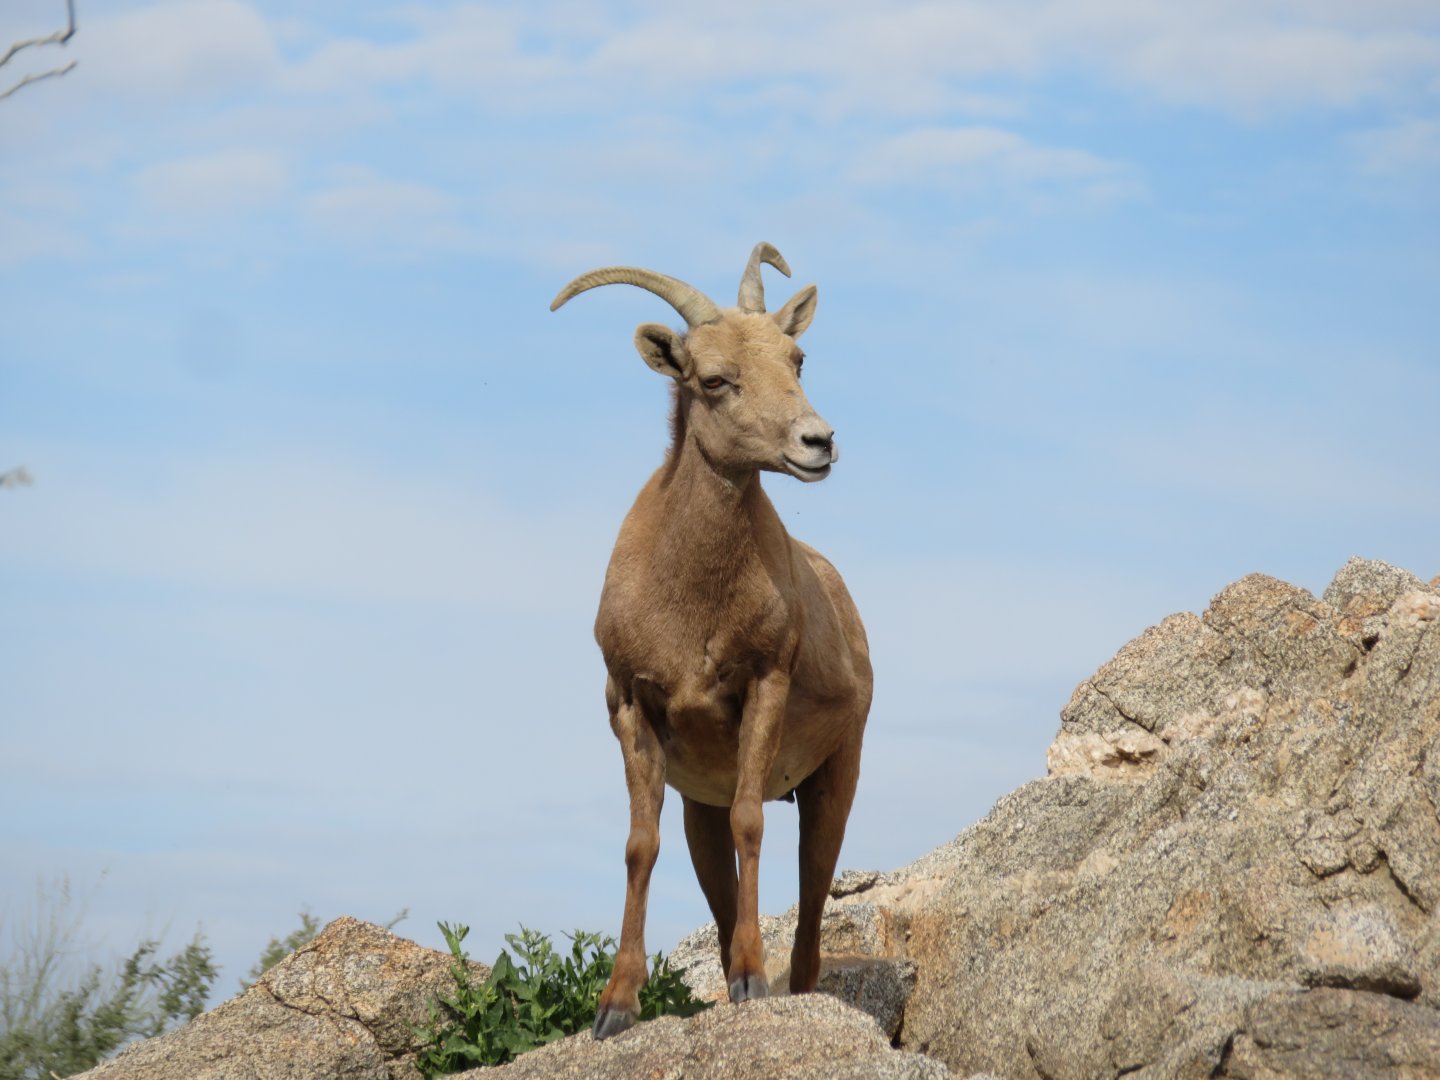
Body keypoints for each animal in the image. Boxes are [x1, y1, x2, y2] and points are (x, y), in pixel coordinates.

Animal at [551, 242, 872, 1040]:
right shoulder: (632, 709)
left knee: (812, 910)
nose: (817, 443)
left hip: (837, 776)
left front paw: (753, 981)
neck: (691, 601)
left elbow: (752, 821)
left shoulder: (764, 686)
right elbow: (640, 847)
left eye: (797, 357)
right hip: (702, 807)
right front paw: (616, 1008)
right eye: (714, 379)